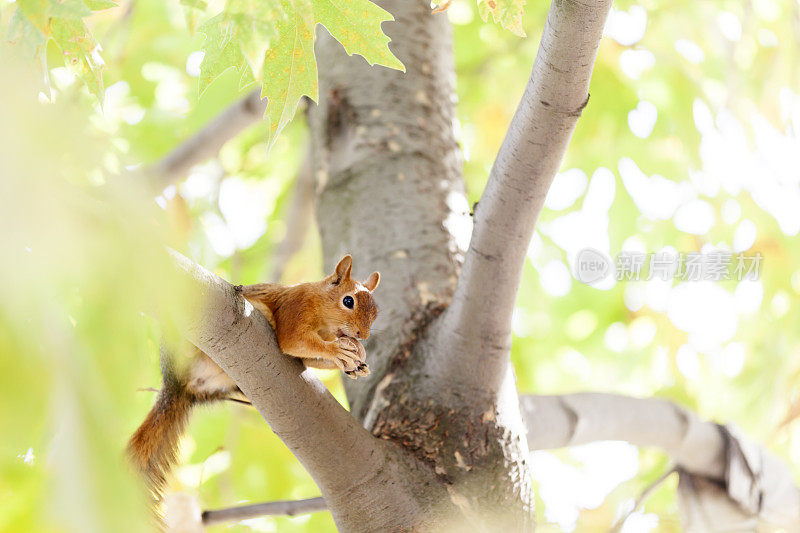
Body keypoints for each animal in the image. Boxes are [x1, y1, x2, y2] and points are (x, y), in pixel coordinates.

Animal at [127, 254, 382, 502]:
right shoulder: (295, 309)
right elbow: (294, 341)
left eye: (376, 312)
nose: (362, 335)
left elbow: (308, 357)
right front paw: (338, 351)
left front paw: (356, 363)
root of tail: (177, 384)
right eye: (348, 301)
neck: (322, 313)